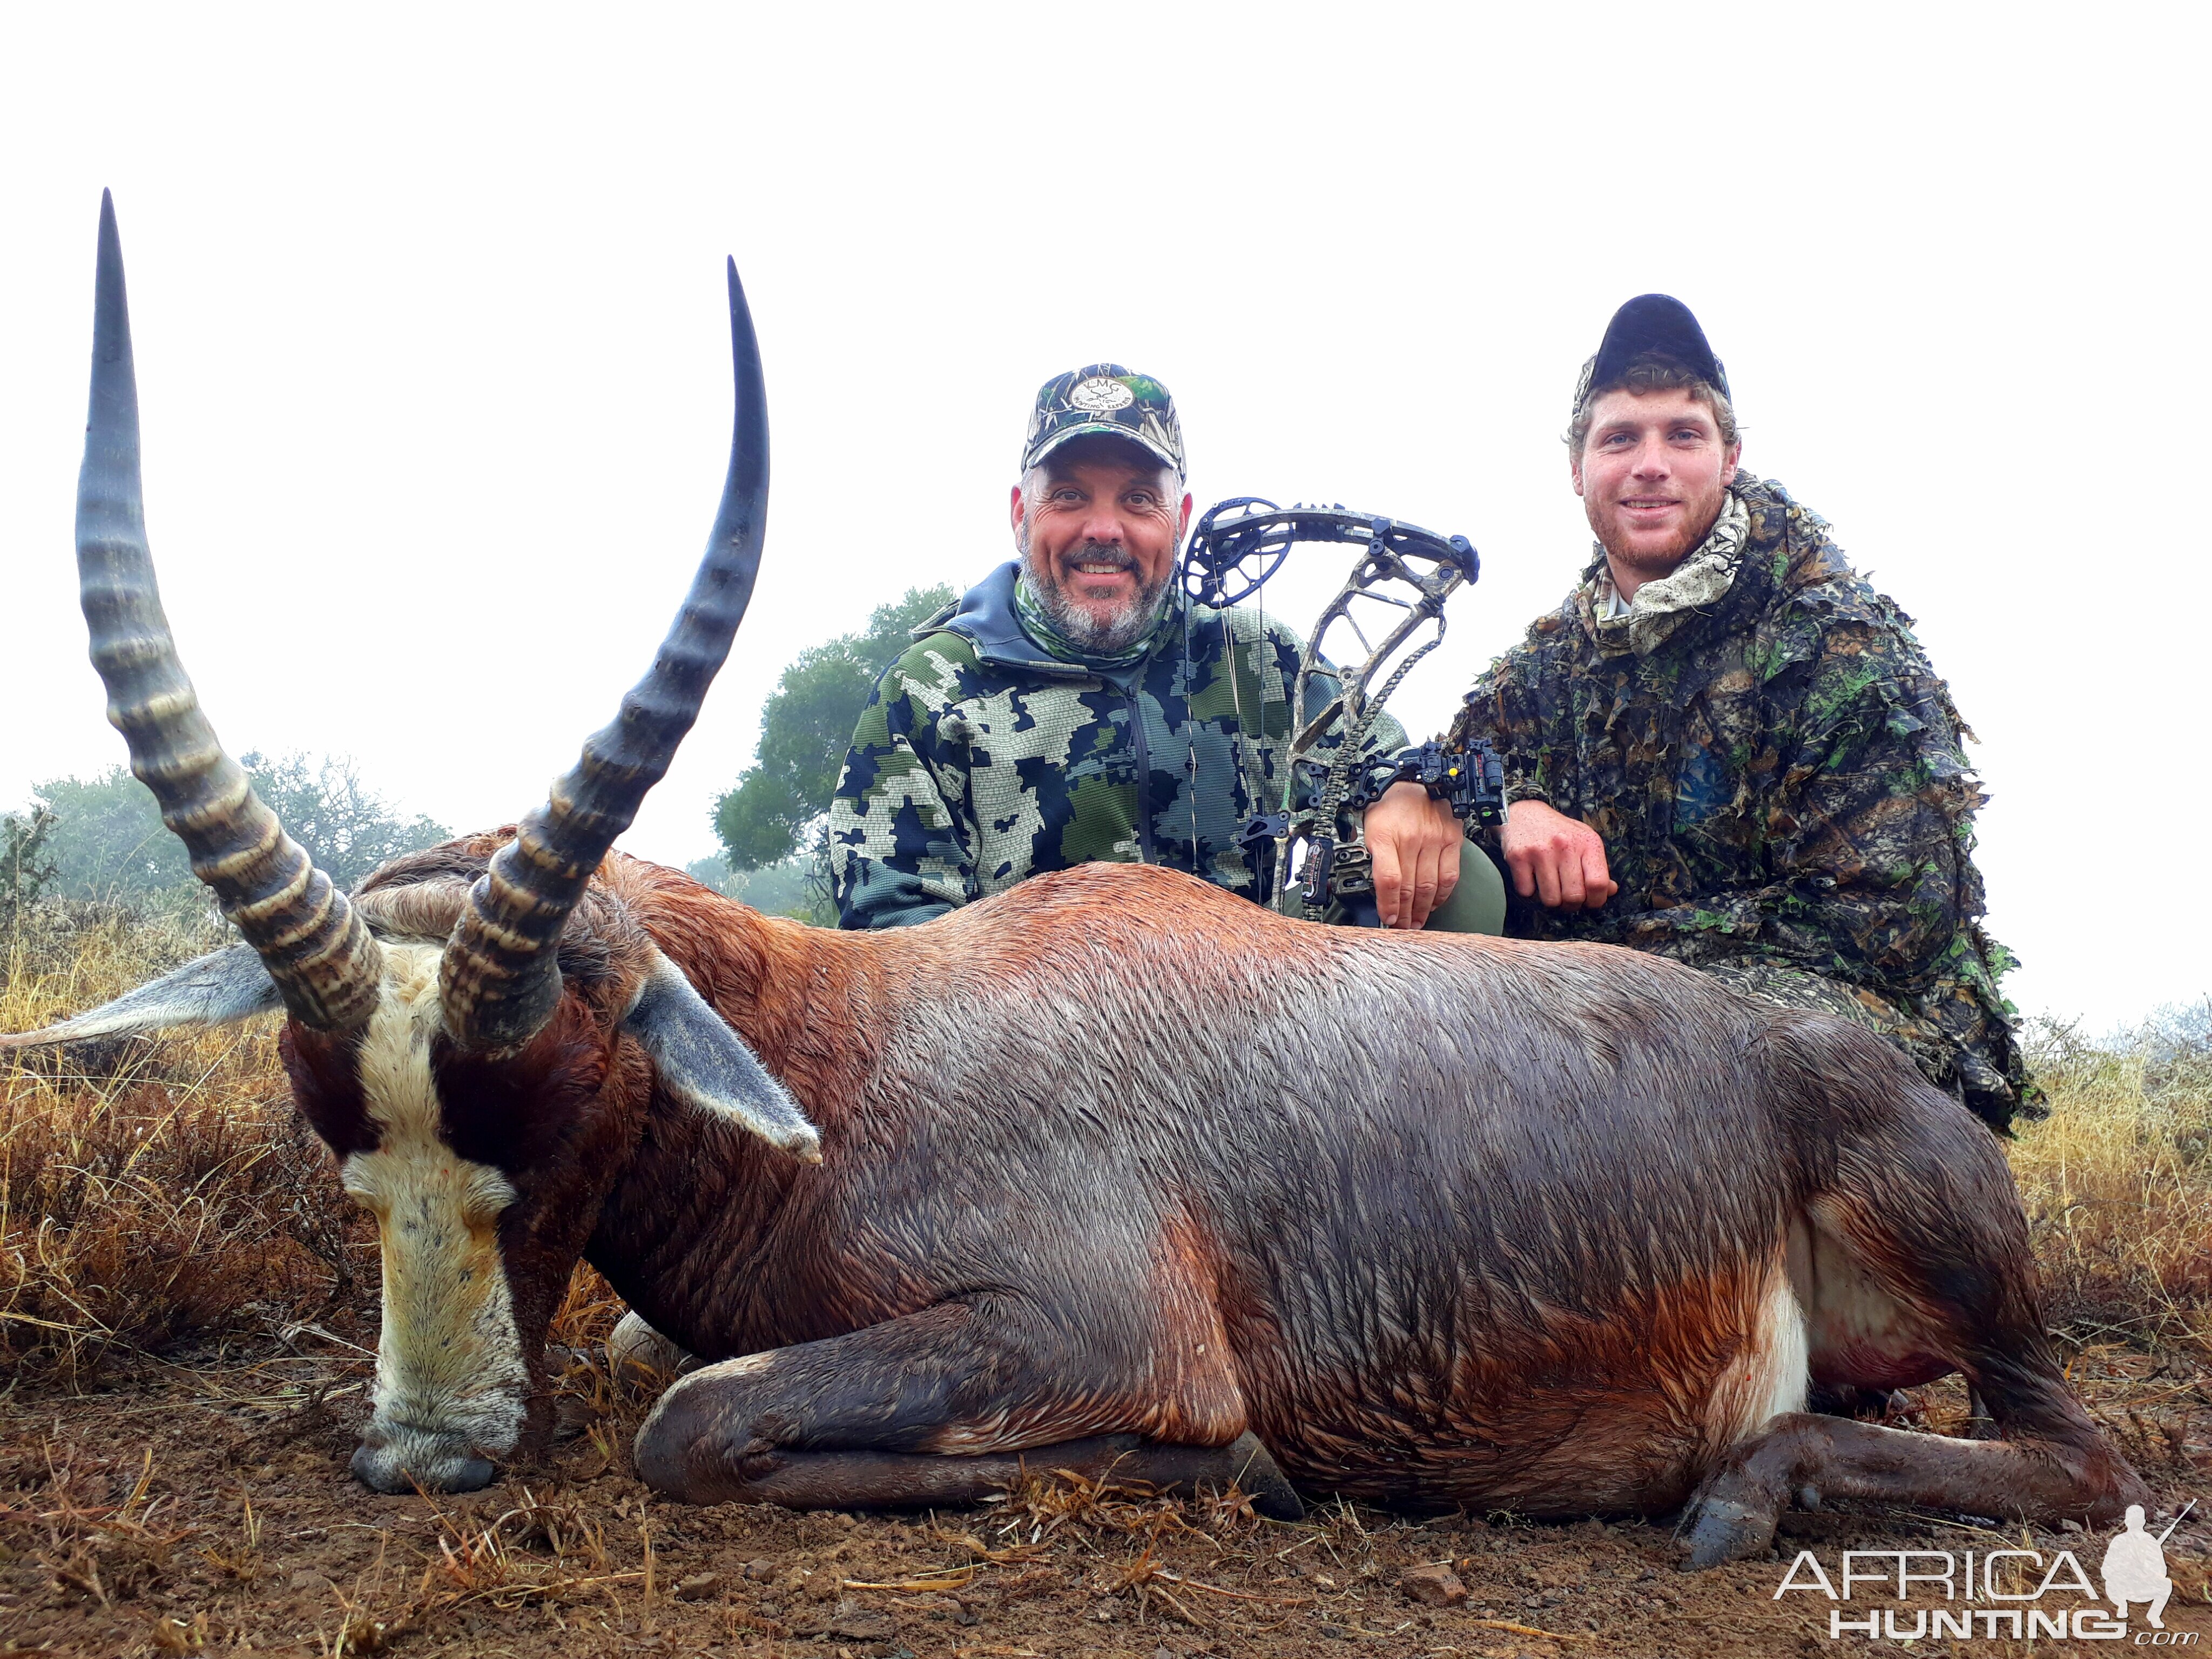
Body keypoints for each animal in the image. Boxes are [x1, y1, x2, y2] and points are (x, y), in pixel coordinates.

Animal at [4, 198, 2141, 1575]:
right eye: (339, 1134)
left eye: (558, 1092)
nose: (425, 1455)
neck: (853, 1056)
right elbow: (665, 1376)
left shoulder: (1089, 1329)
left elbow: (702, 1416)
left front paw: (1229, 1476)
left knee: (2082, 1453)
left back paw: (1744, 1489)